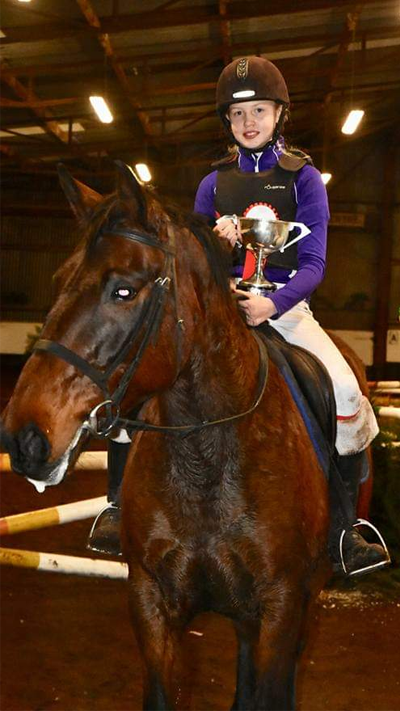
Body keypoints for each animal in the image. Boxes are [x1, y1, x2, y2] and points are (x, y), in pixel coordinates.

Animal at [2, 161, 334, 711]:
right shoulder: (151, 603)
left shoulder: (282, 607)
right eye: (59, 280)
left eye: (124, 290)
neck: (206, 457)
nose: (23, 439)